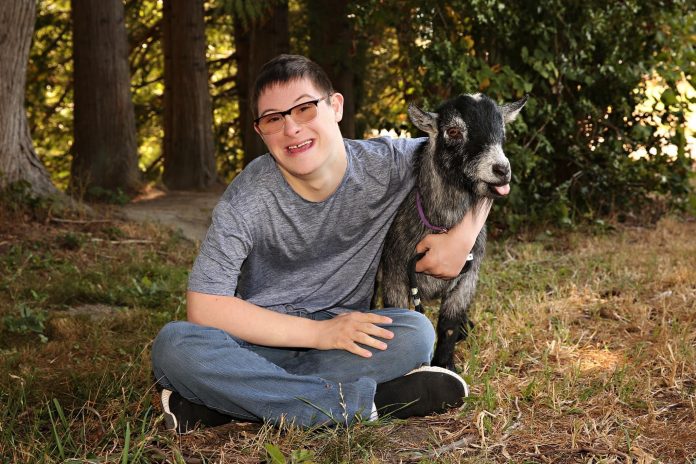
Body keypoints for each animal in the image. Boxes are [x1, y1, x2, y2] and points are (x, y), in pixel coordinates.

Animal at [380, 93, 528, 370]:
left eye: (502, 131)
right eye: (453, 131)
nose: (502, 170)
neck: (442, 227)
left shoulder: (466, 281)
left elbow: (448, 324)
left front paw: (445, 364)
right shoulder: (394, 277)